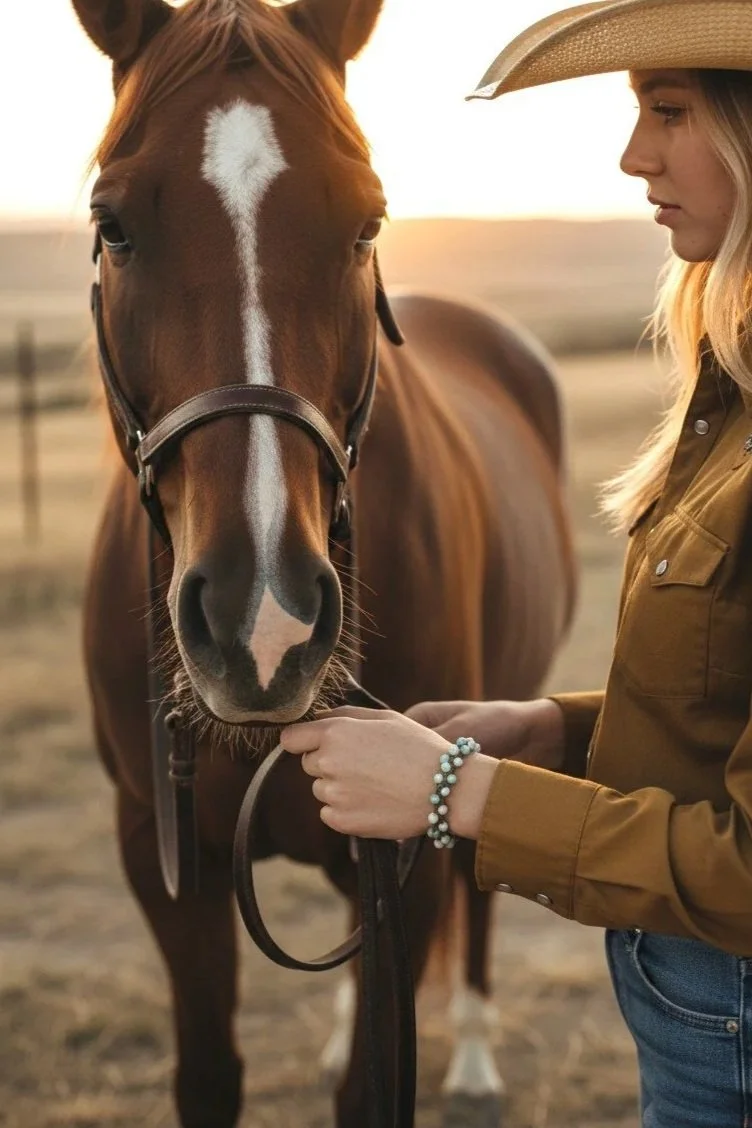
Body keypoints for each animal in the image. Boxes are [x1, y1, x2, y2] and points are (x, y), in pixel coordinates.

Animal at [74, 0, 577, 1124]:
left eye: (366, 222)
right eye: (112, 222)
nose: (262, 622)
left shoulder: (405, 845)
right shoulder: (158, 856)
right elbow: (211, 1077)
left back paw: (472, 1056)